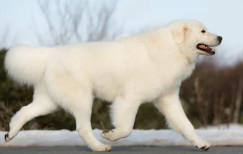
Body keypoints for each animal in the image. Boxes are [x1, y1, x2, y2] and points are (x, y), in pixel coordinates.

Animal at [4, 19, 222, 151]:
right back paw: (100, 147)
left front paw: (201, 143)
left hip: (50, 101)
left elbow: (186, 125)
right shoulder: (129, 98)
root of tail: (51, 53)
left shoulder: (168, 99)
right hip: (82, 99)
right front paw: (109, 135)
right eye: (203, 31)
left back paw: (10, 134)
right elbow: (126, 128)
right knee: (82, 128)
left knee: (23, 112)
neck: (172, 49)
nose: (220, 37)